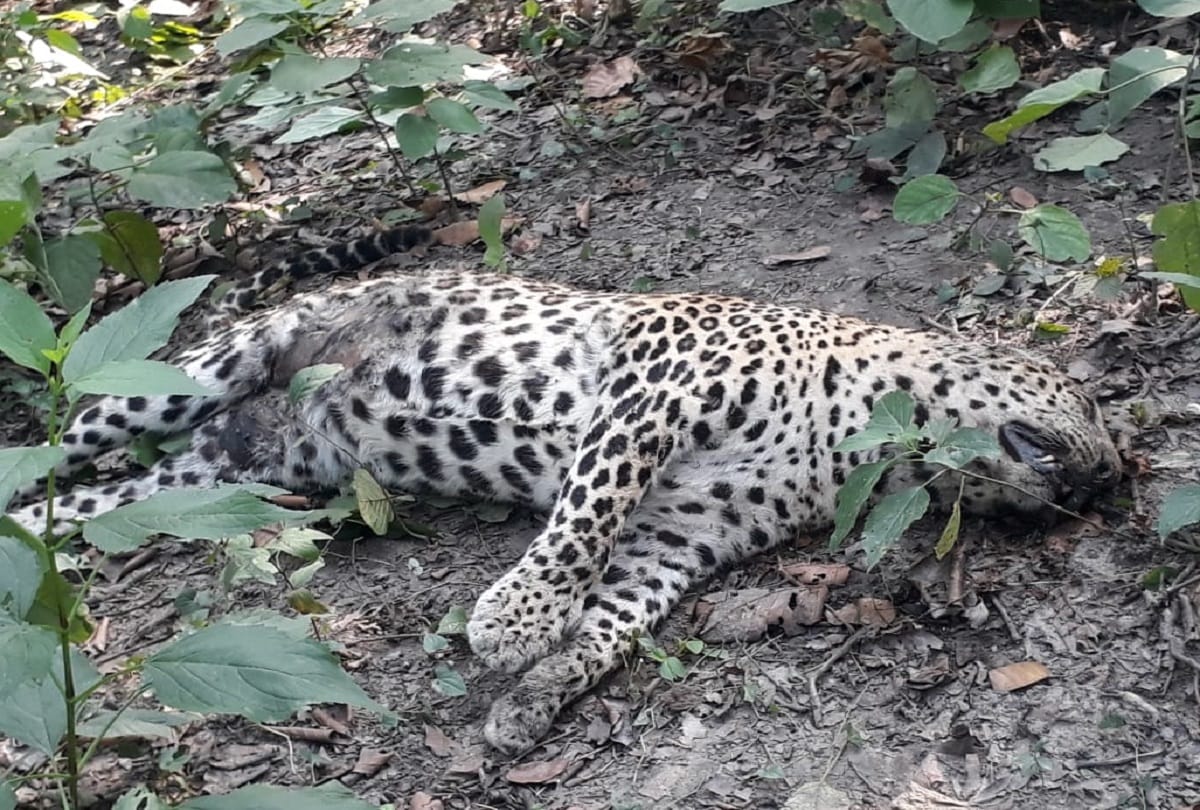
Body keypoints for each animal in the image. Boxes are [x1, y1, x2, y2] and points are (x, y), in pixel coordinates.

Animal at [7, 224, 1122, 755]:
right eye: (1082, 396)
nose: (1106, 479)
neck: (855, 438)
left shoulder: (685, 534)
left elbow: (616, 616)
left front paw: (533, 698)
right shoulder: (656, 387)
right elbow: (588, 509)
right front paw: (515, 620)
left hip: (206, 474)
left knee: (94, 506)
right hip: (192, 371)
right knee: (58, 445)